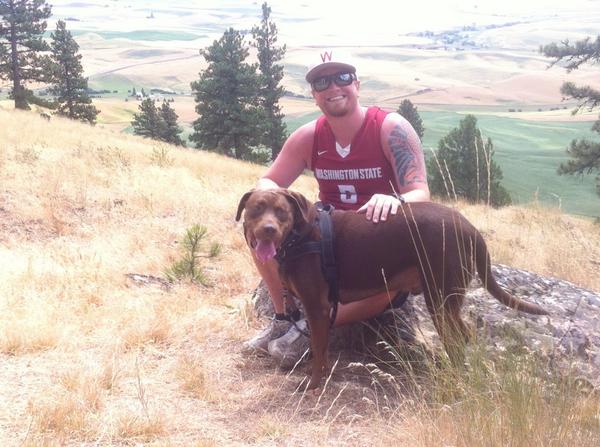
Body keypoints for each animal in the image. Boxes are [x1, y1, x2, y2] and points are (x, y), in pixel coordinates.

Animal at [237, 188, 548, 388]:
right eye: (256, 209)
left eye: (281, 212)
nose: (268, 229)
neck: (299, 236)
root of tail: (470, 229)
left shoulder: (317, 307)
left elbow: (319, 348)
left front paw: (313, 384)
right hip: (445, 298)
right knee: (463, 334)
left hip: (440, 297)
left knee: (456, 339)